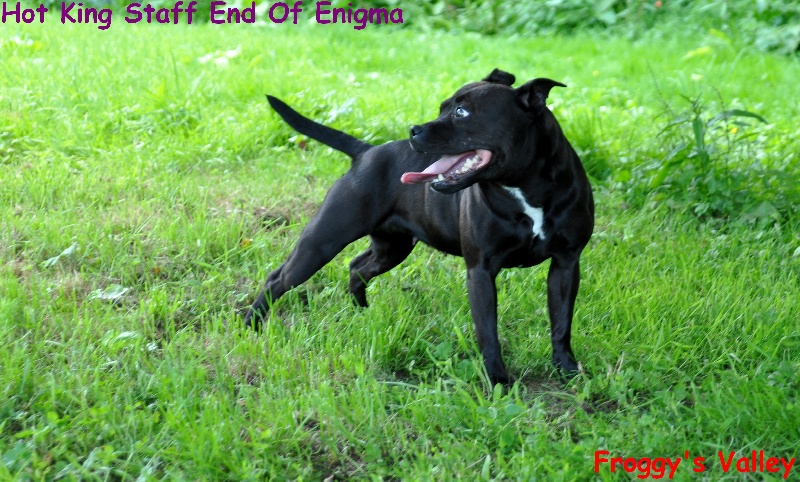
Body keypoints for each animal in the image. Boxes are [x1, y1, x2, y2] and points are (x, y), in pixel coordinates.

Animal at [245, 69, 594, 385]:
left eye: (462, 112)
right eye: (442, 108)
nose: (414, 129)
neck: (524, 187)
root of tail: (365, 151)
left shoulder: (565, 264)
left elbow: (561, 321)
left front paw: (566, 368)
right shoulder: (480, 270)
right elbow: (488, 332)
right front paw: (497, 381)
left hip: (392, 248)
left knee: (357, 267)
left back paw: (361, 312)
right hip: (322, 241)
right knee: (277, 279)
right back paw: (251, 325)